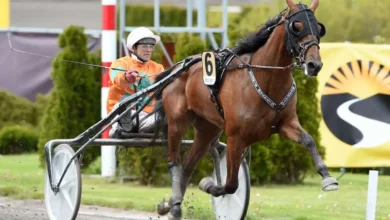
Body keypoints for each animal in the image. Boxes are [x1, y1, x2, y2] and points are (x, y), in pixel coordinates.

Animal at [153, 0, 338, 218]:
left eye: (319, 28)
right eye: (297, 26)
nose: (314, 64)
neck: (265, 78)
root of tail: (178, 67)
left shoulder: (286, 124)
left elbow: (309, 140)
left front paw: (327, 177)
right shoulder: (235, 137)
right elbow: (231, 184)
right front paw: (209, 185)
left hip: (207, 128)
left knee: (188, 165)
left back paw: (172, 204)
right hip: (177, 123)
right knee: (174, 160)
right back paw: (173, 204)